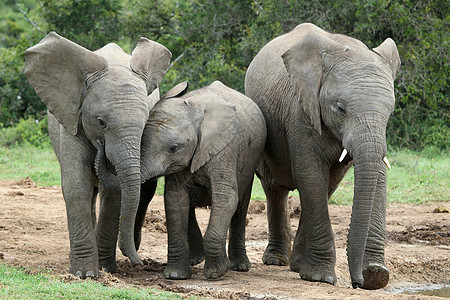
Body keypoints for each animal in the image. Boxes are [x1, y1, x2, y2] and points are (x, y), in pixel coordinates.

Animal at [24, 31, 172, 278]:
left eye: (146, 123)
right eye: (101, 122)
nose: (140, 263)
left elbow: (114, 192)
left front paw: (105, 269)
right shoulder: (73, 119)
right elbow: (76, 186)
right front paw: (84, 274)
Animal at [97, 79, 268, 278]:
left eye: (173, 148)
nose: (101, 143)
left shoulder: (225, 149)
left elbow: (226, 199)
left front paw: (216, 273)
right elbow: (175, 200)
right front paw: (175, 275)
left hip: (250, 161)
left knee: (240, 207)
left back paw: (239, 266)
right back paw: (196, 260)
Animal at [244, 22, 402, 290]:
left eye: (390, 111)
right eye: (340, 108)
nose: (358, 282)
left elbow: (378, 176)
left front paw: (377, 275)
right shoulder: (300, 111)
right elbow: (310, 175)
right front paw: (320, 278)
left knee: (326, 187)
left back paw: (297, 264)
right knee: (275, 187)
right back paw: (277, 260)